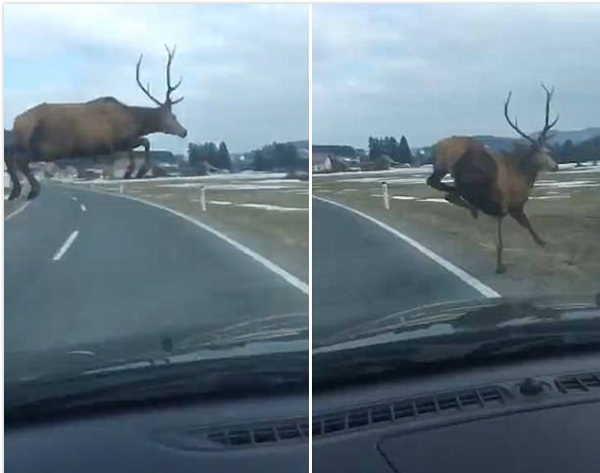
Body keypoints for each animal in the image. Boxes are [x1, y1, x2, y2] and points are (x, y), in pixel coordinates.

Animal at [4, 43, 186, 200]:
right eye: (173, 116)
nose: (184, 132)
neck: (135, 121)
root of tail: (16, 122)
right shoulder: (117, 140)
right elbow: (145, 143)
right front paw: (137, 171)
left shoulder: (118, 144)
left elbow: (135, 150)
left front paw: (131, 172)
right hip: (41, 146)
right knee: (19, 160)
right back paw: (32, 190)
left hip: (24, 143)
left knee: (9, 156)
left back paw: (15, 192)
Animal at [424, 83, 560, 272]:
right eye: (540, 151)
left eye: (548, 149)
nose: (556, 166)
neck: (522, 177)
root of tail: (436, 147)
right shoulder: (508, 205)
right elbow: (510, 234)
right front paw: (501, 265)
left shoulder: (506, 208)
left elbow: (516, 230)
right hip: (458, 168)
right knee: (445, 187)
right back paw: (471, 207)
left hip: (445, 168)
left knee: (442, 188)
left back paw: (472, 208)